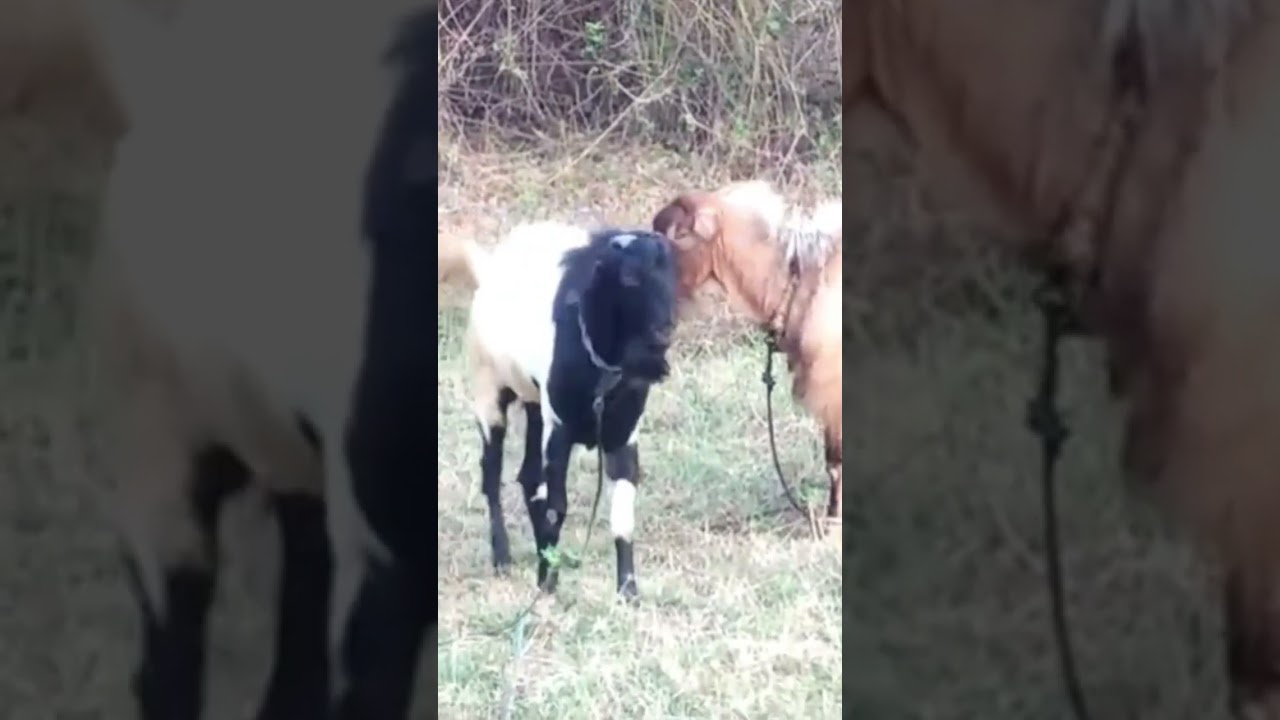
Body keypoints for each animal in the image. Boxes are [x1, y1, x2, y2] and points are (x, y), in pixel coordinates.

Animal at [438, 222, 679, 600]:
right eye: (629, 278)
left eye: (671, 275)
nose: (663, 332)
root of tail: (489, 269)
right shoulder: (560, 430)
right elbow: (557, 507)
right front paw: (547, 584)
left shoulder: (624, 435)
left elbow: (622, 514)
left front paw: (627, 590)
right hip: (489, 395)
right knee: (492, 475)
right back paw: (503, 557)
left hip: (536, 406)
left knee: (528, 477)